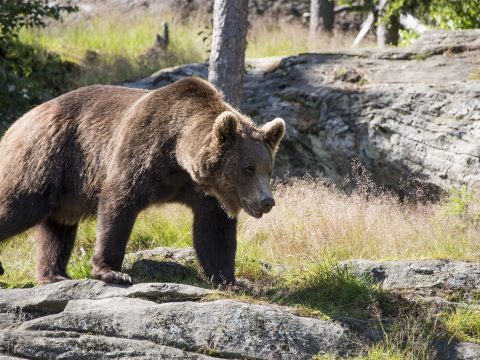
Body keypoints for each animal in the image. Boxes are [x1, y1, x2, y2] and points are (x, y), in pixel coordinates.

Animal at [0, 77, 284, 286]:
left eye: (268, 169)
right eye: (248, 168)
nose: (267, 201)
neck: (177, 156)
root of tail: (22, 119)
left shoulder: (203, 191)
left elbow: (215, 230)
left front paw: (230, 280)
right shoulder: (140, 151)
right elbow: (118, 204)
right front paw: (112, 271)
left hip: (66, 190)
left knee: (58, 228)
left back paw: (54, 275)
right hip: (47, 158)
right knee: (19, 205)